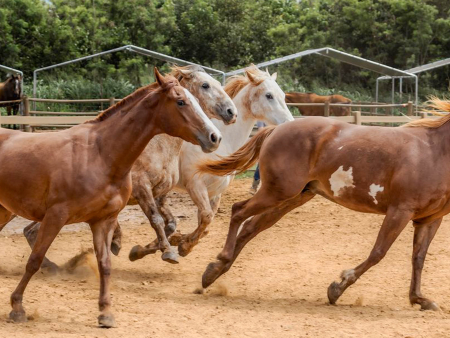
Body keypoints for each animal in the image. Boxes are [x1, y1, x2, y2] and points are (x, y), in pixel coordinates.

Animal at [0, 68, 220, 328]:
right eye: (181, 101)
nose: (214, 137)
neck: (100, 154)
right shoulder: (56, 216)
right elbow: (34, 259)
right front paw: (17, 307)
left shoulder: (103, 221)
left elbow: (105, 264)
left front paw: (105, 313)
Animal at [128, 65, 294, 262]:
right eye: (269, 95)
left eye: (283, 95)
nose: (290, 123)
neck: (223, 143)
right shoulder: (195, 185)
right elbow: (206, 217)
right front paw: (182, 246)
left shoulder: (215, 193)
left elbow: (206, 224)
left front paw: (177, 242)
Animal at [199, 98, 450, 312]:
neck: (434, 152)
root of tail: (276, 129)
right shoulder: (400, 211)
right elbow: (378, 252)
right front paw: (337, 288)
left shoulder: (430, 220)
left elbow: (419, 258)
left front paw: (420, 299)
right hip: (277, 192)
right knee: (238, 211)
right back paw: (220, 261)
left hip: (292, 197)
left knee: (250, 228)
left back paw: (214, 271)